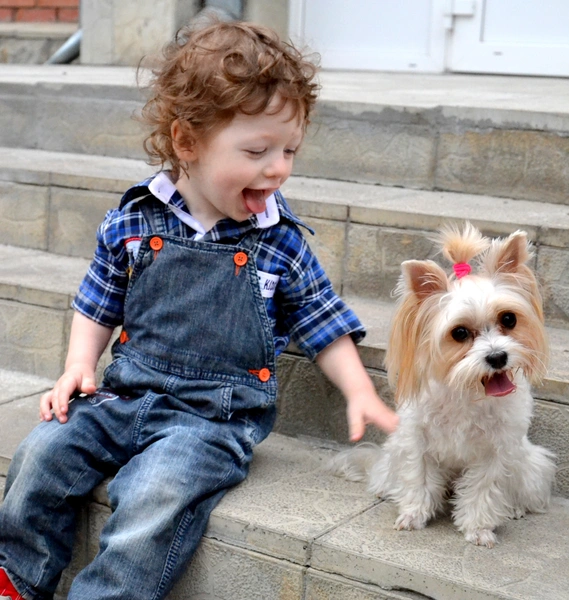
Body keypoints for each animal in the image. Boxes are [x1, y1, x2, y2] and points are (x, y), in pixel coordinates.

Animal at [332, 224, 556, 548]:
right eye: (459, 333)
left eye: (509, 318)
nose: (497, 357)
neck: (467, 389)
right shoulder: (417, 441)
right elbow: (419, 478)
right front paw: (414, 515)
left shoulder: (496, 451)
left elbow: (483, 490)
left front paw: (478, 528)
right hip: (396, 450)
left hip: (529, 463)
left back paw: (514, 508)